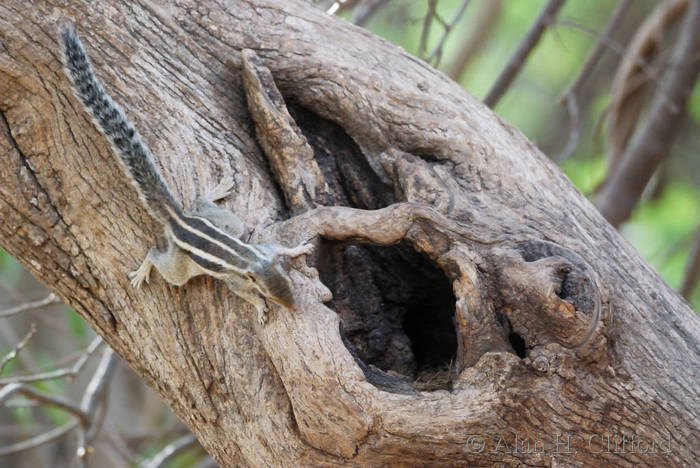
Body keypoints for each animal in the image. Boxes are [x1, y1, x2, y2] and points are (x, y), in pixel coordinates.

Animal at [58, 24, 312, 324]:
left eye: (288, 283)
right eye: (270, 294)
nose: (295, 308)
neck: (251, 260)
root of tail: (179, 220)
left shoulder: (267, 251)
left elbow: (281, 247)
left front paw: (298, 249)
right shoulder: (236, 281)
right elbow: (244, 294)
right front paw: (259, 307)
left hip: (229, 224)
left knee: (205, 206)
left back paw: (217, 190)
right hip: (179, 267)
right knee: (158, 257)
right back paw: (144, 269)